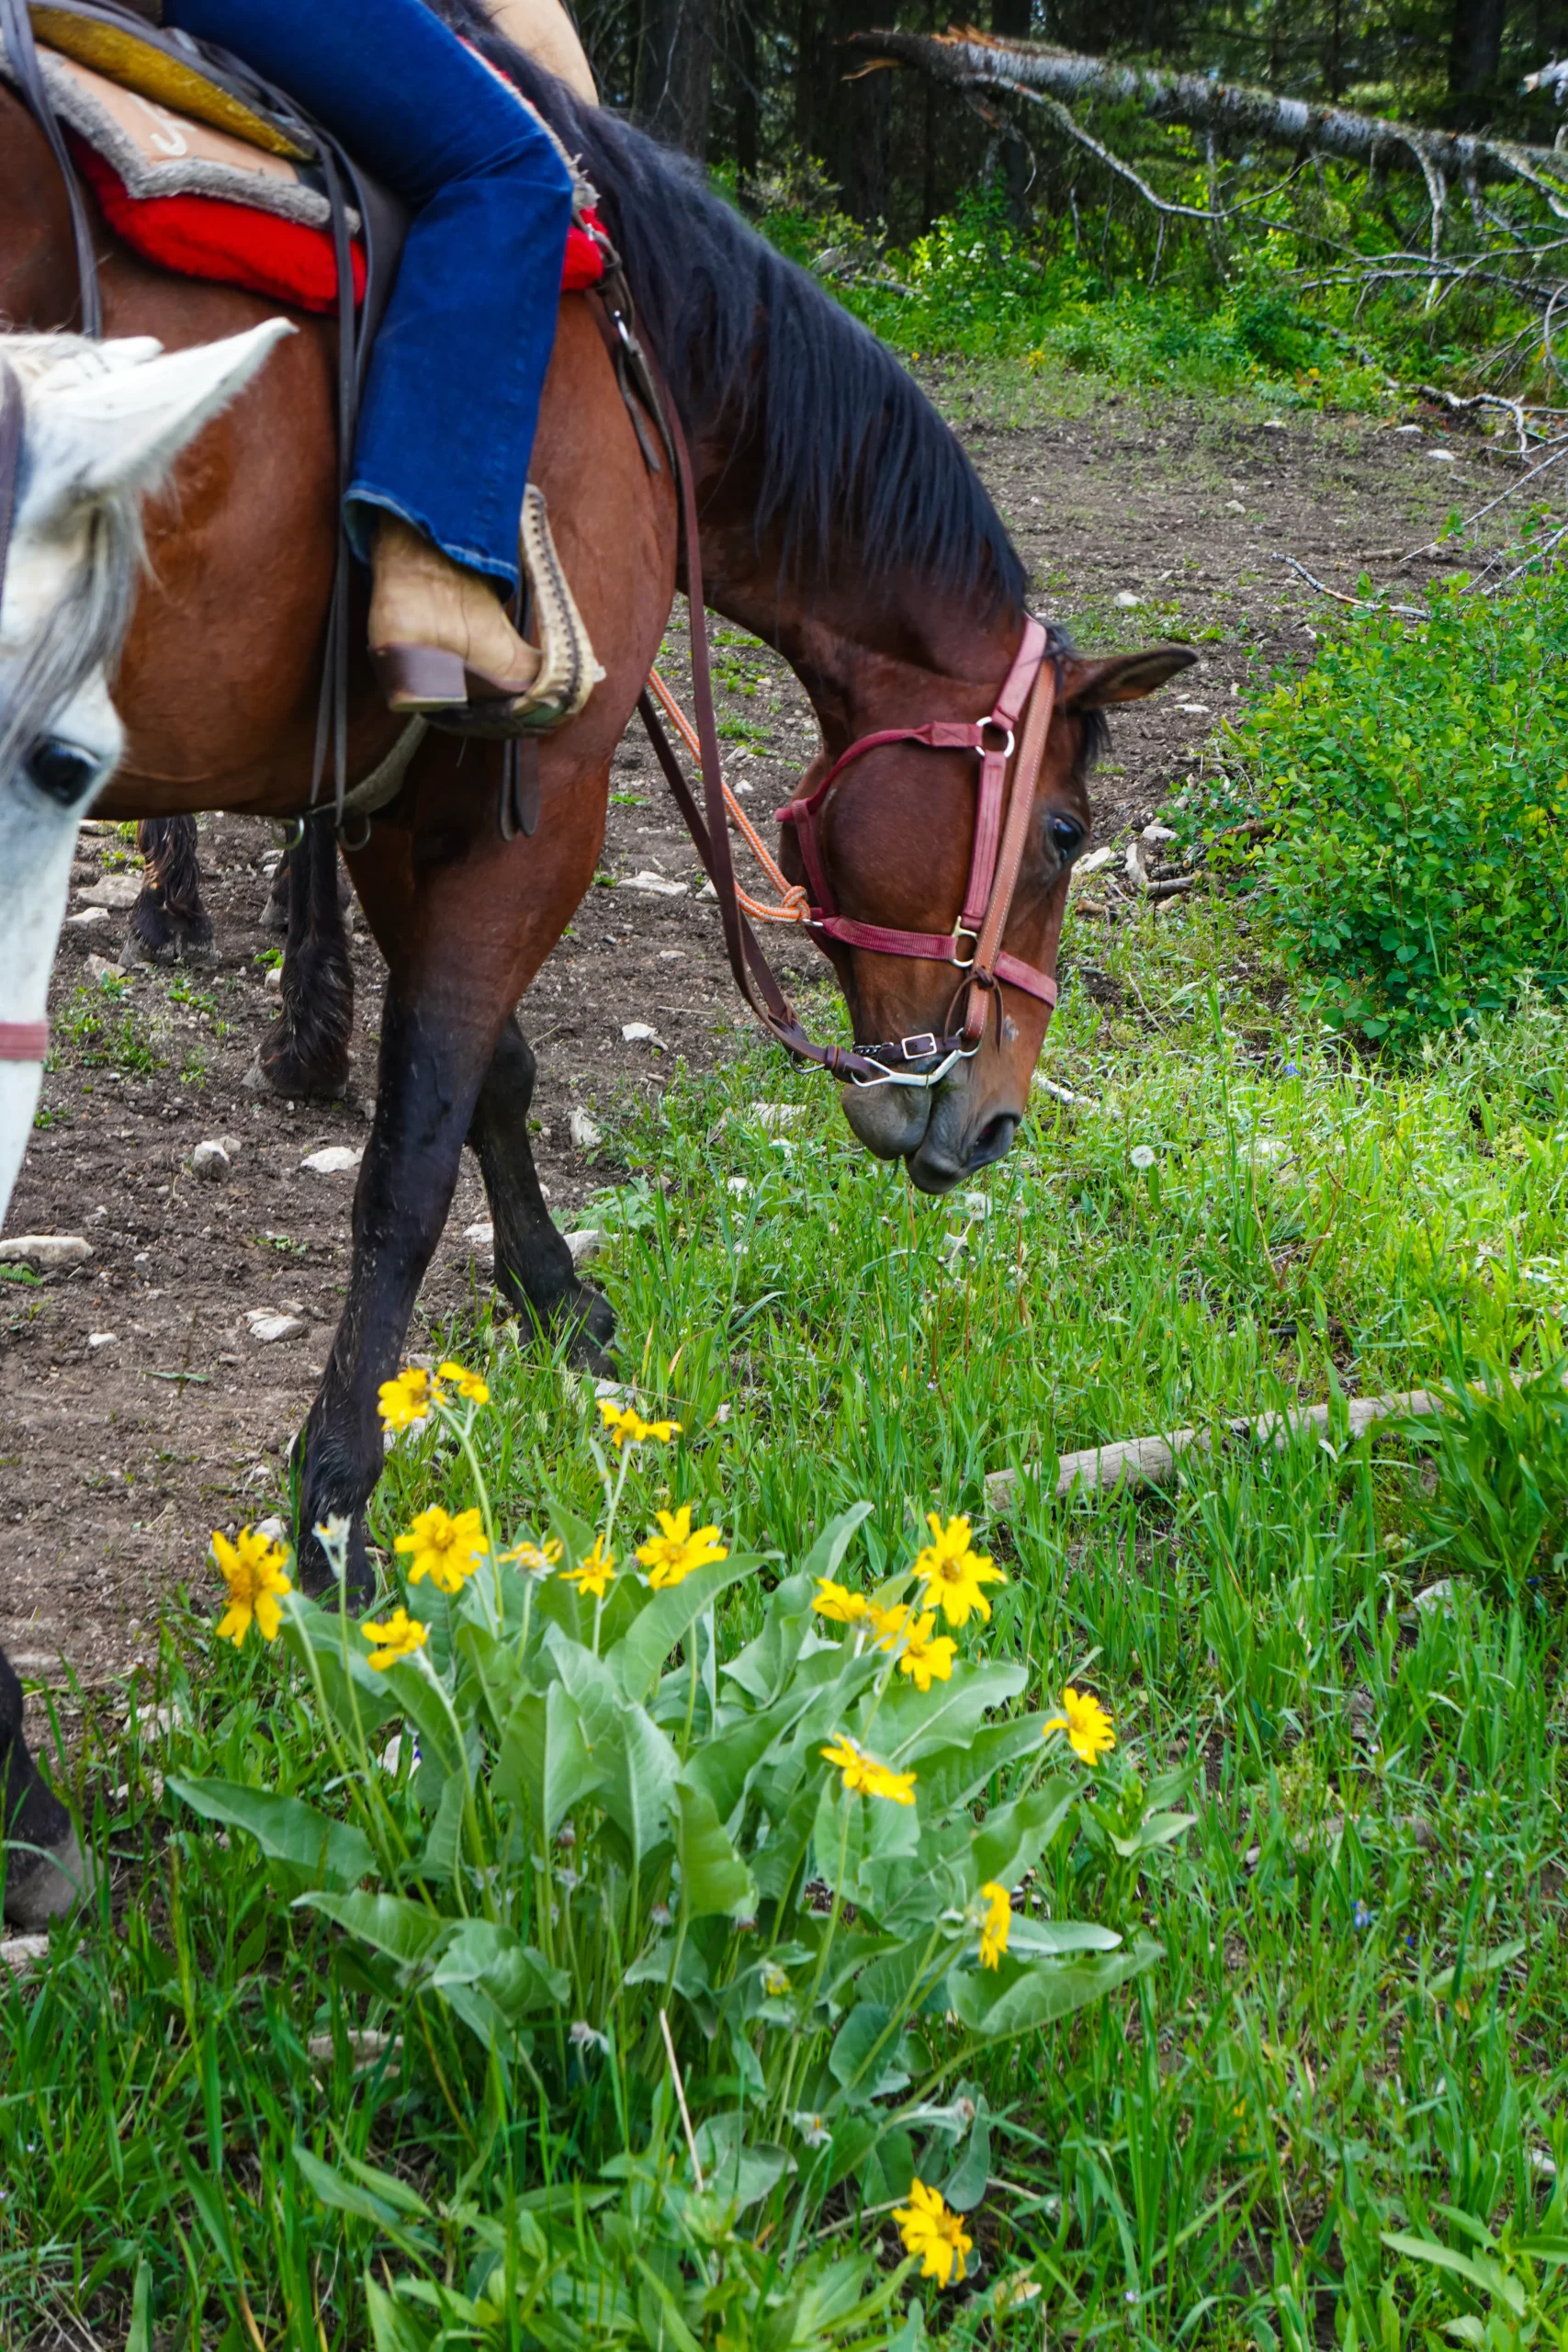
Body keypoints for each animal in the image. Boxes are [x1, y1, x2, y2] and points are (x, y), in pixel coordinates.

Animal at [0, 14, 1191, 1628]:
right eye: (1062, 833)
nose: (996, 1117)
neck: (645, 365)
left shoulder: (411, 797)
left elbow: (490, 1076)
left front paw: (557, 1298)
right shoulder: (534, 801)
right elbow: (408, 1165)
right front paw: (334, 1518)